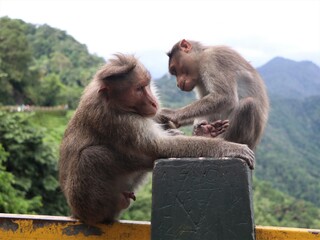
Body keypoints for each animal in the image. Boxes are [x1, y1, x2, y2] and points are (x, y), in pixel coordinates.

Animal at [58, 53, 255, 225]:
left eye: (147, 85)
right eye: (138, 89)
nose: (153, 101)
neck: (113, 102)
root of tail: (75, 213)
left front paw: (205, 133)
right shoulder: (118, 120)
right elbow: (162, 145)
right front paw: (233, 148)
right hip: (83, 203)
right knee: (91, 156)